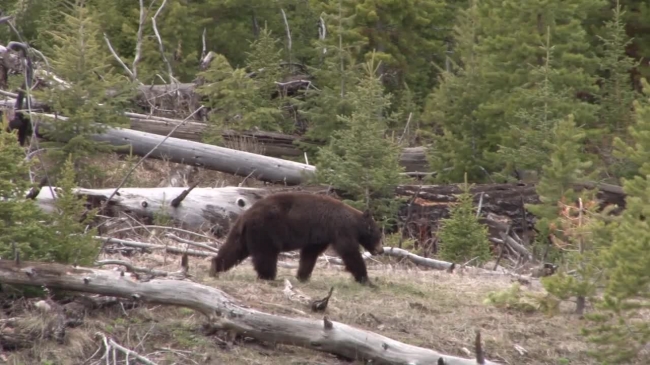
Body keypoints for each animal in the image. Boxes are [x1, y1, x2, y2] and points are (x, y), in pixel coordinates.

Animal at [208, 191, 382, 284]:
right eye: (378, 235)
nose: (380, 251)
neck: (354, 222)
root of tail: (246, 215)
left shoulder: (320, 236)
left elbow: (310, 254)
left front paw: (302, 276)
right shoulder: (340, 229)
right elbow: (349, 253)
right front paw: (367, 280)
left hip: (244, 234)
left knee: (233, 249)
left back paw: (215, 267)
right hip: (266, 231)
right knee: (266, 255)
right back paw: (269, 277)